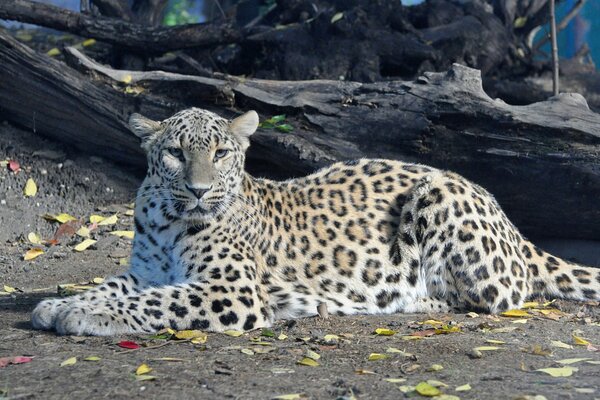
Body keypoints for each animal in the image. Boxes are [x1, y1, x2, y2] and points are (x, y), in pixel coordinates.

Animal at [31, 108, 600, 336]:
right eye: (174, 153)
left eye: (221, 153)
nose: (198, 189)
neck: (171, 219)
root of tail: (516, 230)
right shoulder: (145, 270)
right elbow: (112, 286)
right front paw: (59, 305)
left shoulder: (231, 289)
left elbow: (155, 302)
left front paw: (83, 316)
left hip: (439, 198)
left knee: (495, 296)